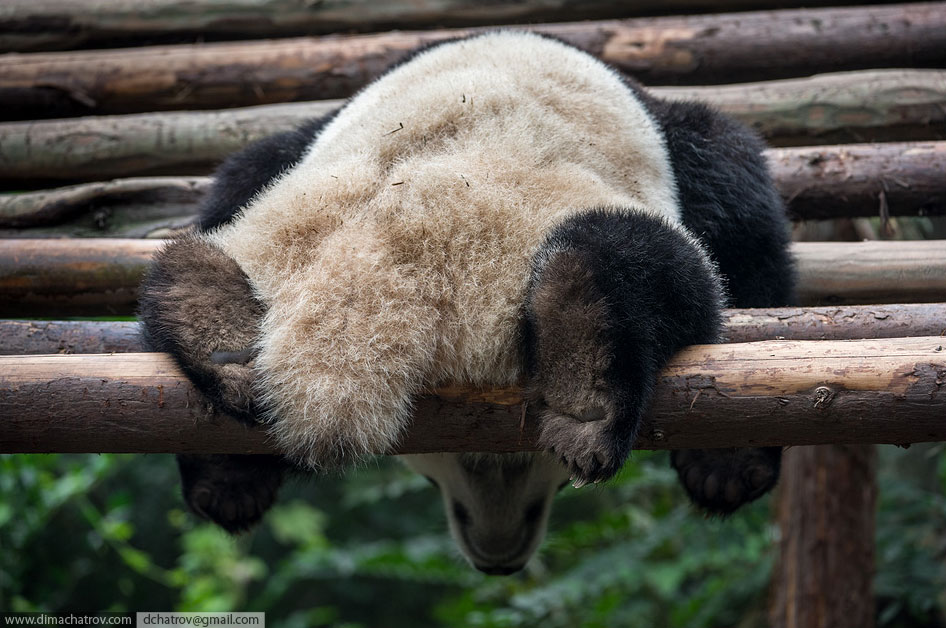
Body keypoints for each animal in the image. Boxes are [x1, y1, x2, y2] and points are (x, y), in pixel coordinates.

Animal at [138, 31, 788, 576]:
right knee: (660, 266)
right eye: (432, 475)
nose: (498, 556)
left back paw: (210, 327)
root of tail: (406, 240)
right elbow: (748, 228)